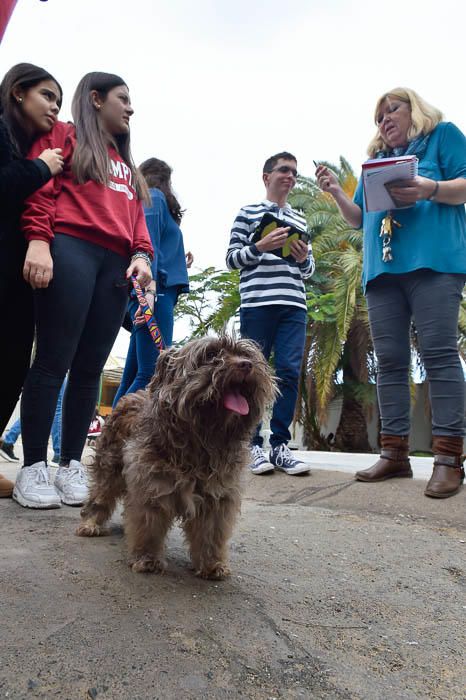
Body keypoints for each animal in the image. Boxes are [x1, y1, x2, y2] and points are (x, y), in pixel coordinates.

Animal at [75, 334, 274, 580]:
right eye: (211, 354)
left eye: (245, 355)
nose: (246, 365)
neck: (202, 439)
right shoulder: (151, 487)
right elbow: (148, 527)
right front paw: (147, 558)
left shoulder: (216, 497)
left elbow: (210, 534)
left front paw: (211, 564)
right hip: (109, 467)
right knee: (100, 495)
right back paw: (91, 523)